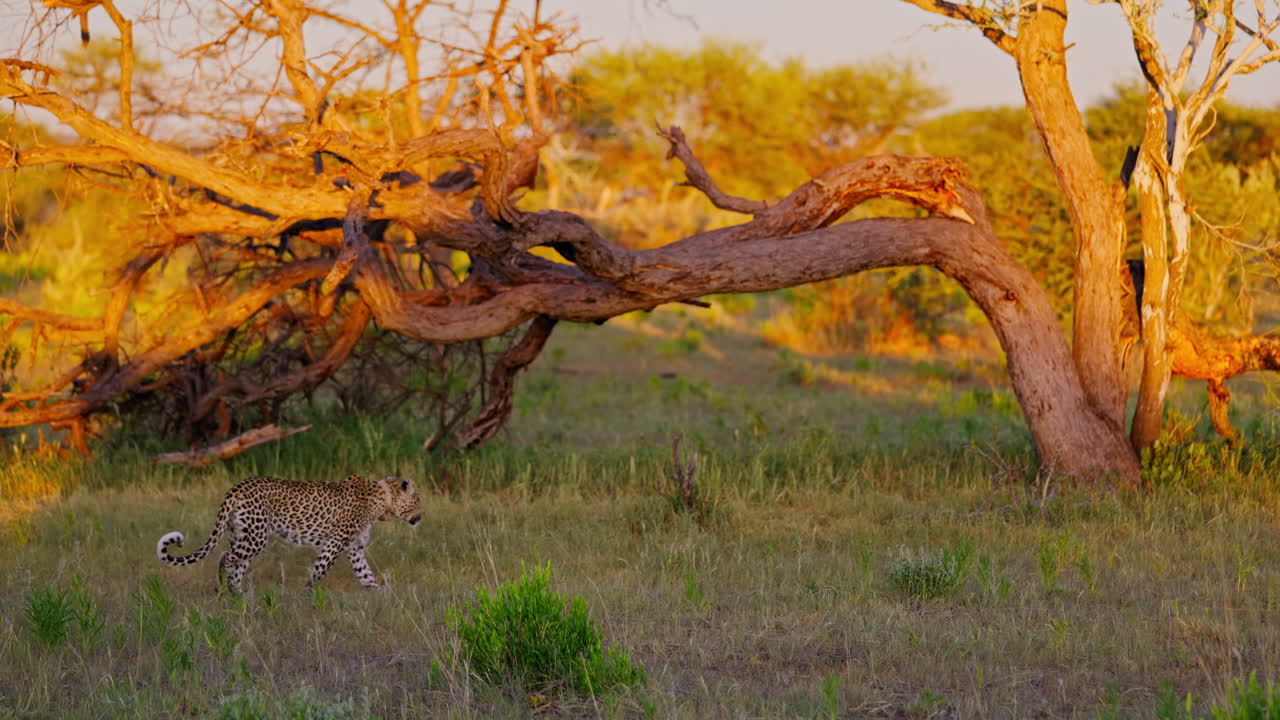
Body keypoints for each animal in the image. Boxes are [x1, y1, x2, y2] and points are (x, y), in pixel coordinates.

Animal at [156, 474, 422, 593]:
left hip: (241, 534)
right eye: (418, 500)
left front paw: (381, 594)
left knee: (236, 564)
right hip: (256, 537)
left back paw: (239, 595)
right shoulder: (335, 542)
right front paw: (308, 595)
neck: (383, 501)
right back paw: (224, 588)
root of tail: (237, 487)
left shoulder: (354, 548)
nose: (422, 515)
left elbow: (366, 575)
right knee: (226, 558)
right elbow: (319, 570)